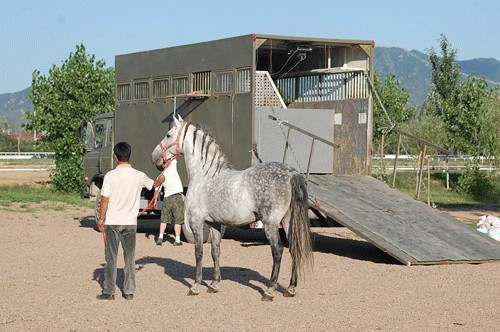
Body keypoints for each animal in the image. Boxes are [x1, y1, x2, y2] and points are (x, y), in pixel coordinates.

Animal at [151, 116, 312, 300]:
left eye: (168, 135)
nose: (154, 157)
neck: (205, 175)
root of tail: (291, 173)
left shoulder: (196, 221)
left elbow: (199, 252)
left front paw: (195, 286)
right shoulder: (214, 224)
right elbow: (215, 252)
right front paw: (214, 284)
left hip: (271, 223)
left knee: (277, 251)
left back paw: (270, 290)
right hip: (287, 221)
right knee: (294, 248)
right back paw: (290, 288)